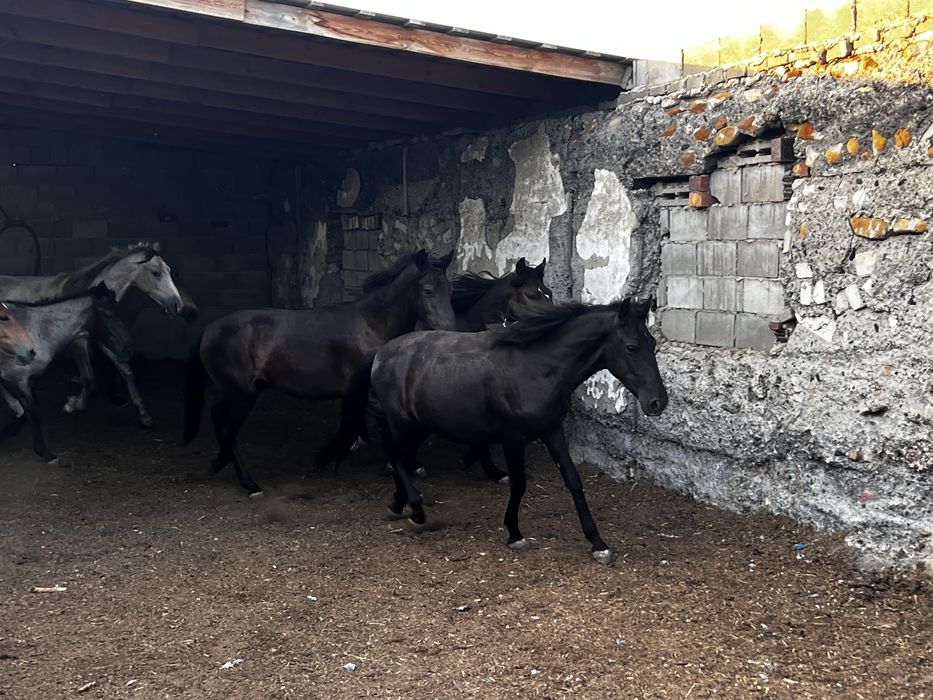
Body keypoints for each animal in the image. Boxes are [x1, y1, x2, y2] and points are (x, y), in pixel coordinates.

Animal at [0, 243, 189, 427]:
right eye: (156, 273)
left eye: (169, 270)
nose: (176, 305)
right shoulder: (79, 341)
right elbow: (89, 378)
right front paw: (74, 405)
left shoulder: (103, 339)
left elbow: (126, 370)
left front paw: (144, 414)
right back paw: (18, 408)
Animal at [0, 284, 131, 464]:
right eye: (108, 315)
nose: (128, 346)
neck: (38, 332)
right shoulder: (20, 380)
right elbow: (34, 414)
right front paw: (46, 453)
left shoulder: (27, 381)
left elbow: (29, 412)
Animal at [183, 249, 457, 496]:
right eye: (428, 290)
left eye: (450, 289)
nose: (450, 328)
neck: (371, 324)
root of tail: (209, 330)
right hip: (242, 395)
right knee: (228, 429)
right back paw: (250, 485)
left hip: (239, 392)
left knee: (218, 416)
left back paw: (218, 463)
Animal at [319, 298, 668, 564]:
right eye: (631, 347)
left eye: (652, 343)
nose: (657, 402)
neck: (534, 368)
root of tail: (380, 353)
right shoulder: (513, 439)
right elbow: (518, 483)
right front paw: (514, 533)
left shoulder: (552, 432)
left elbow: (573, 481)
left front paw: (598, 544)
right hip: (401, 422)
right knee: (394, 455)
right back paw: (415, 509)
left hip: (418, 425)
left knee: (400, 457)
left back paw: (399, 504)